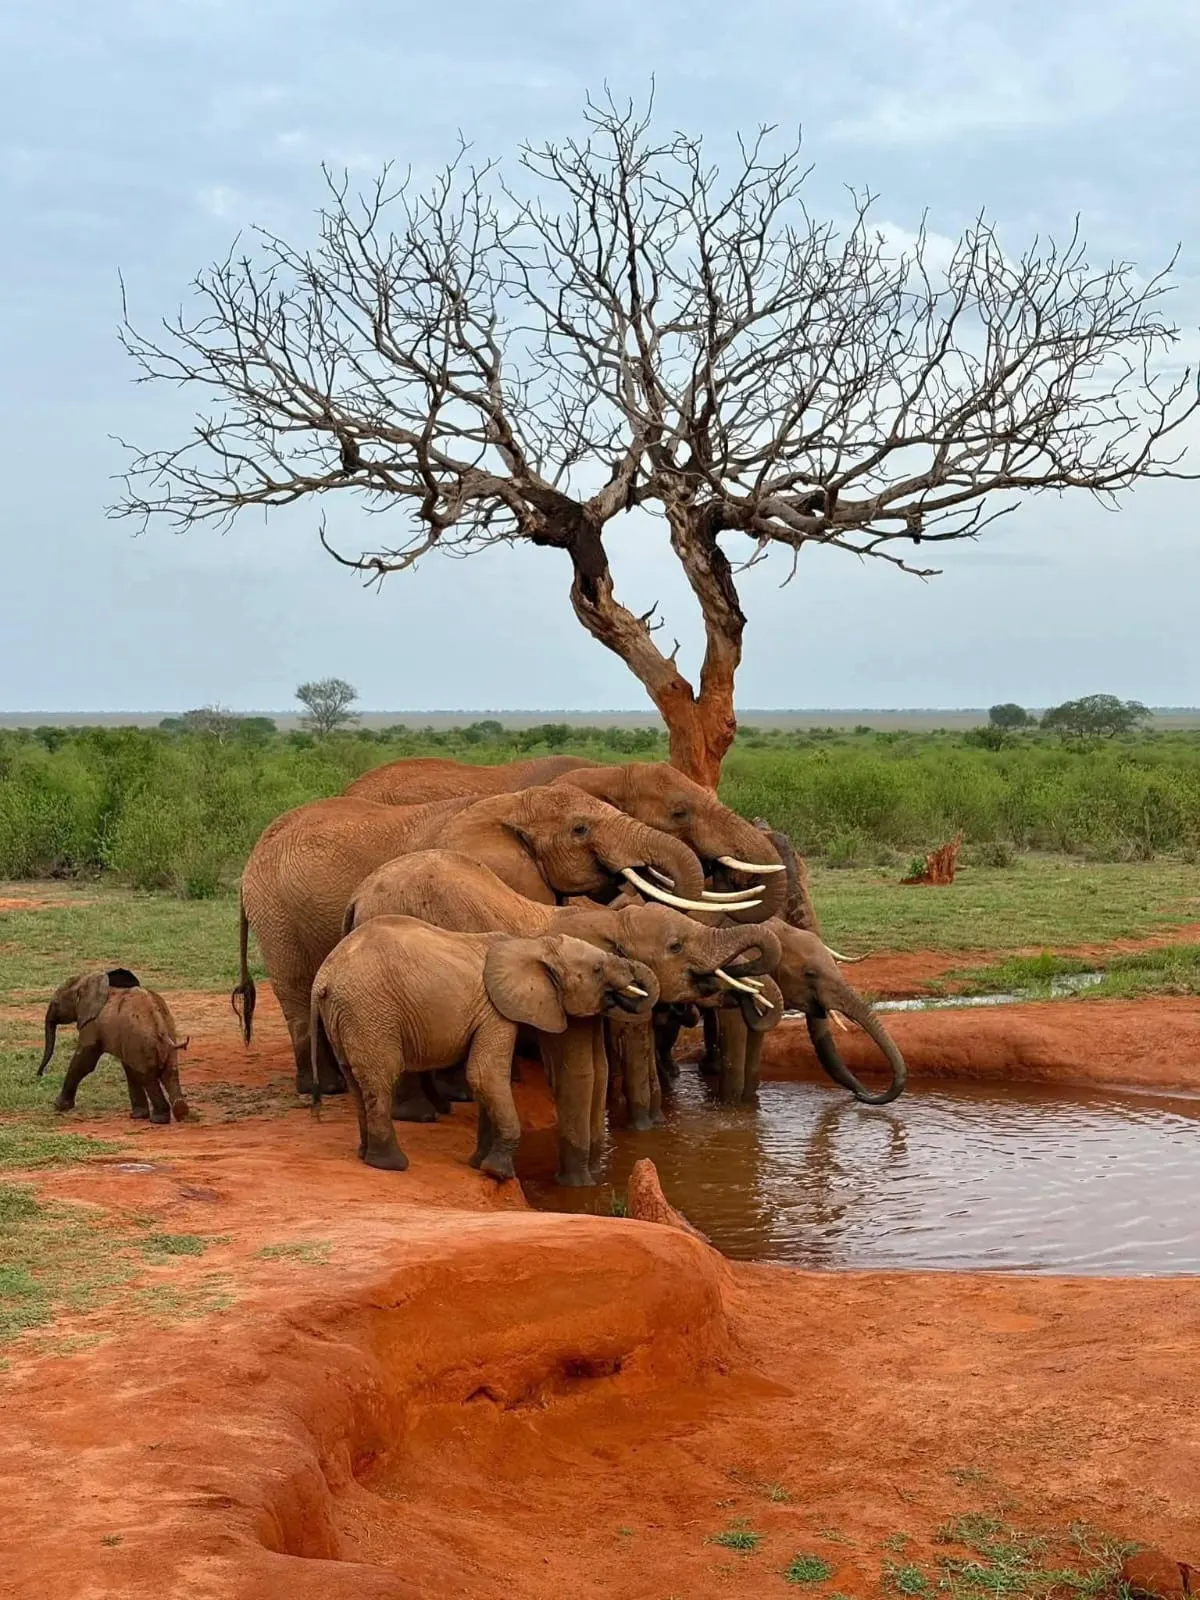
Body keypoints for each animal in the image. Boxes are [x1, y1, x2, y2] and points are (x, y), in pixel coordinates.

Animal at [38, 968, 190, 1123]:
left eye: (56, 1003)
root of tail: (159, 1021)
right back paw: (180, 1112)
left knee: (146, 1076)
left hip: (144, 1042)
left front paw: (58, 1106)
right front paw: (138, 1115)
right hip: (163, 1039)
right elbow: (127, 1067)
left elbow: (84, 1061)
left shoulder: (93, 1024)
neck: (87, 980)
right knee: (168, 1073)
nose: (40, 1074)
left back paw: (159, 1119)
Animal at [309, 917, 657, 1177]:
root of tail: (323, 979)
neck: (533, 944)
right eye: (597, 970)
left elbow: (484, 1082)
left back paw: (365, 1154)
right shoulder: (495, 1010)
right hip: (369, 1011)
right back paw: (392, 1165)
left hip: (345, 1015)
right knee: (380, 1077)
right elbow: (485, 1075)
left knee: (357, 1080)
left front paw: (479, 1165)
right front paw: (498, 1173)